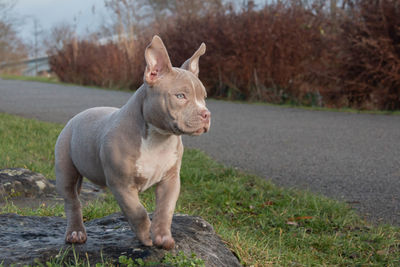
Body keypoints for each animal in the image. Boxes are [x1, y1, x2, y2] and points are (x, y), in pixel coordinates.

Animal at [55, 36, 211, 251]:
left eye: (204, 98)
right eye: (180, 96)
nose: (206, 114)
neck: (158, 138)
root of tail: (78, 116)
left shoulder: (170, 180)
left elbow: (165, 209)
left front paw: (162, 237)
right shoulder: (121, 184)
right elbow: (138, 212)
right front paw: (146, 236)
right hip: (65, 168)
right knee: (72, 200)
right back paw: (76, 232)